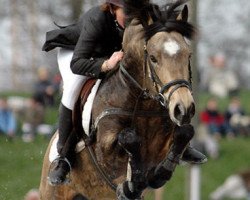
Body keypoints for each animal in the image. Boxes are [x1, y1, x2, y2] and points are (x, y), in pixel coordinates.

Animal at [40, 0, 197, 199]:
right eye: (153, 58)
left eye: (188, 55)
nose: (184, 108)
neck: (143, 103)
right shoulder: (105, 149)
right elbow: (128, 138)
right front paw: (131, 186)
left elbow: (185, 132)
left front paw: (157, 175)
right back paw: (59, 167)